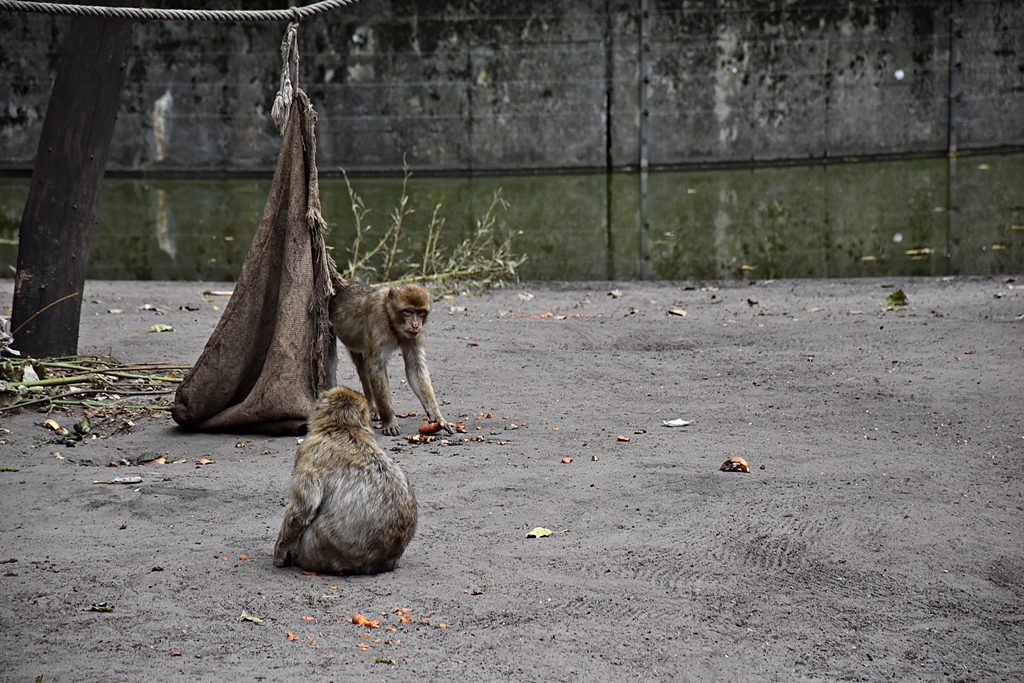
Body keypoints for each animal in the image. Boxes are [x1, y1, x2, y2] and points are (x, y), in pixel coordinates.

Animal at [273, 386, 417, 575]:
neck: (341, 426)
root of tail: (376, 563)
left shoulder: (307, 451)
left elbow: (303, 509)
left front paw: (279, 554)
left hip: (315, 552)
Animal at [329, 278, 452, 436]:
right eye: (408, 311)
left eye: (421, 312)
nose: (415, 325)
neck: (392, 319)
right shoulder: (378, 319)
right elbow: (376, 367)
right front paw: (390, 421)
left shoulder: (416, 335)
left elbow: (414, 368)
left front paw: (437, 417)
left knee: (362, 365)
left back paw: (372, 407)